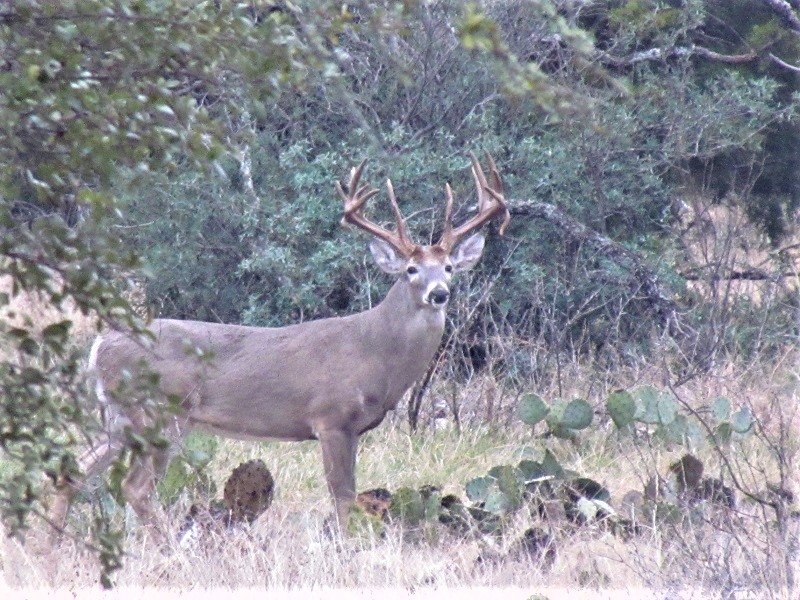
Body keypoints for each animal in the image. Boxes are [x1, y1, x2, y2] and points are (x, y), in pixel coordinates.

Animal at [50, 151, 510, 536]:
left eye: (449, 267)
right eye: (411, 269)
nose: (439, 294)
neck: (376, 353)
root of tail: (100, 345)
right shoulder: (332, 418)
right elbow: (343, 496)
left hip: (119, 417)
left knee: (73, 472)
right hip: (161, 413)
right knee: (136, 488)